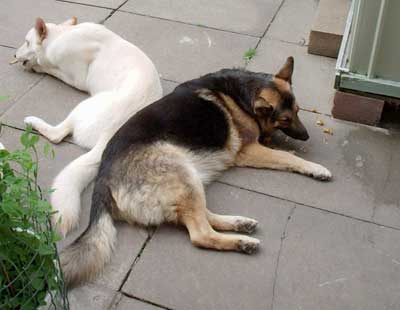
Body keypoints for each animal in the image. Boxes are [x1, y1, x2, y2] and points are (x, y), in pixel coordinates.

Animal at [14, 17, 162, 235]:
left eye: (26, 42)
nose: (14, 55)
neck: (62, 34)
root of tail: (115, 130)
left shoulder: (75, 78)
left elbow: (49, 68)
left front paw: (37, 65)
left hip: (82, 107)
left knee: (57, 134)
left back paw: (33, 122)